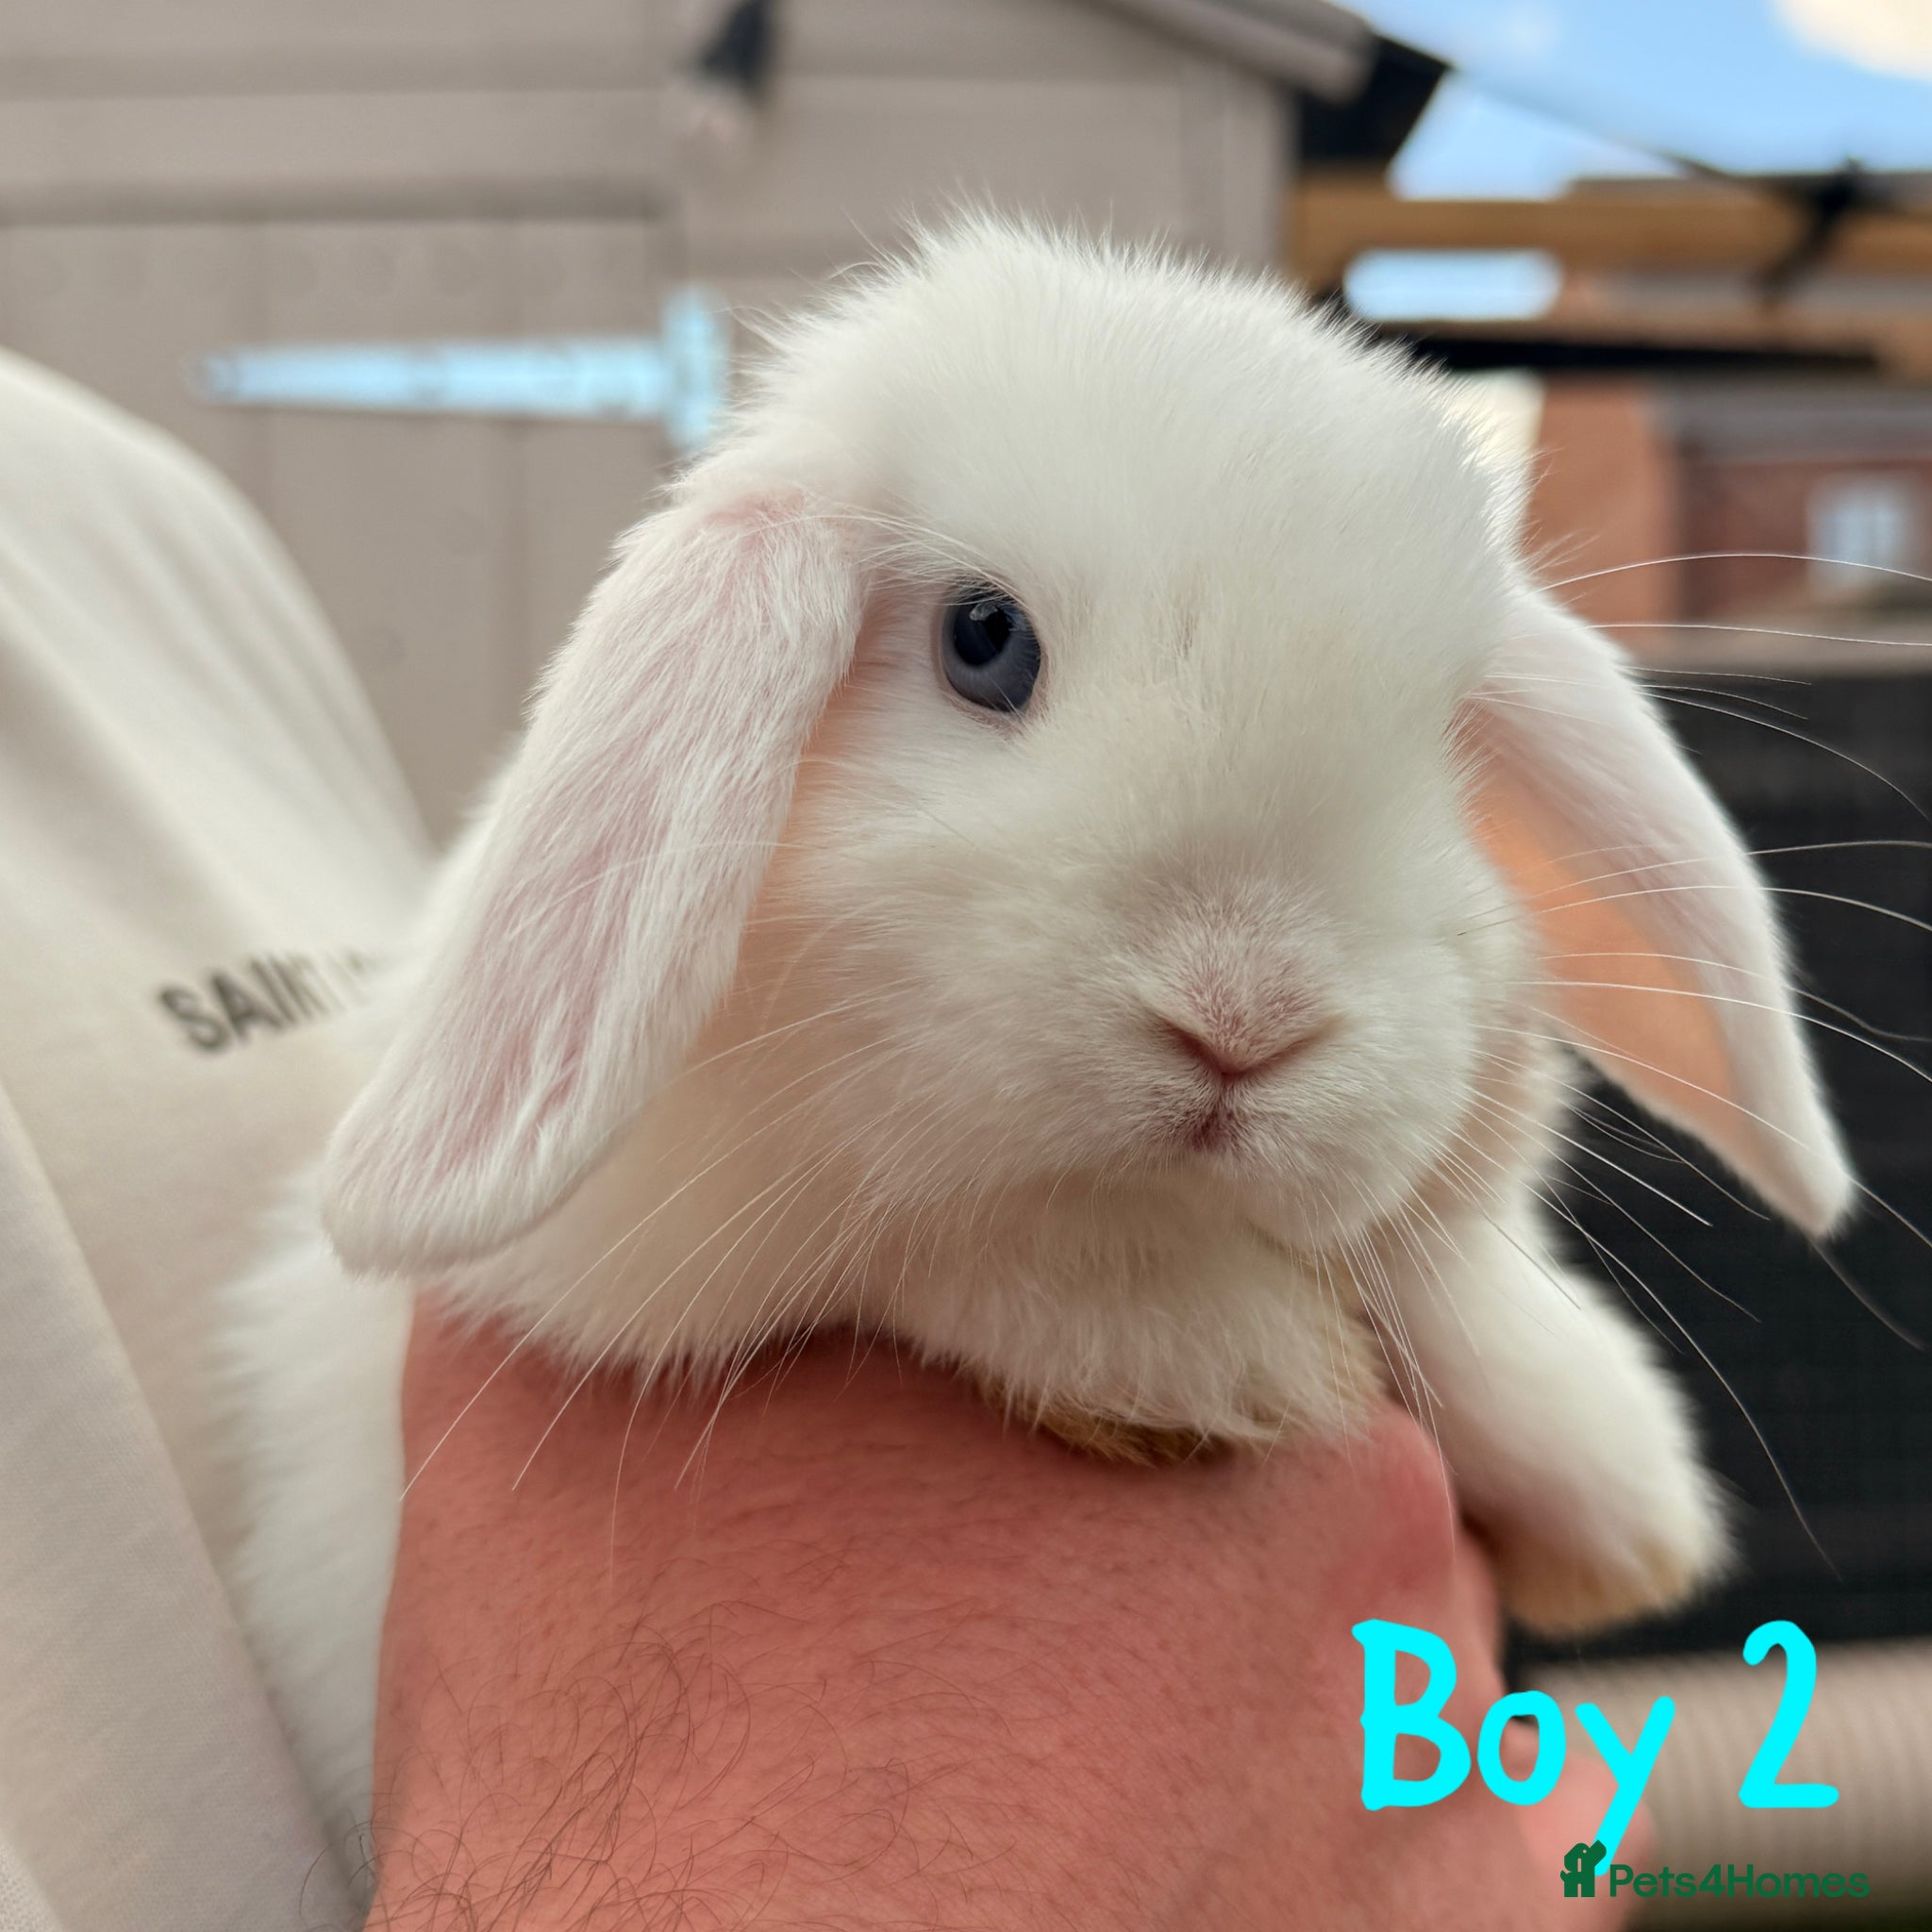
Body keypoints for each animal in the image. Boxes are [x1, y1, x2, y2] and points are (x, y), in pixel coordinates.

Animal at [219, 218, 1852, 1860]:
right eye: (983, 640)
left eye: (1450, 738)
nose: (1244, 1017)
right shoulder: (641, 1260)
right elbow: (956, 1258)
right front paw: (1214, 1360)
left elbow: (1454, 1305)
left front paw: (1622, 1500)